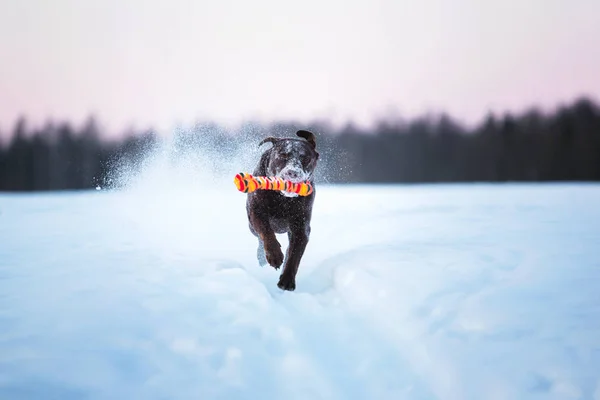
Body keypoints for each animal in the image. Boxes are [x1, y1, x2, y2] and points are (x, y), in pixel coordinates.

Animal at [245, 130, 318, 290]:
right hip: (251, 227)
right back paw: (262, 257)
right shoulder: (256, 213)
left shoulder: (301, 227)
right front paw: (274, 256)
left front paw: (287, 280)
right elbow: (266, 232)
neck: (282, 199)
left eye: (305, 158)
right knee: (260, 238)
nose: (293, 172)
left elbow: (294, 255)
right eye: (283, 155)